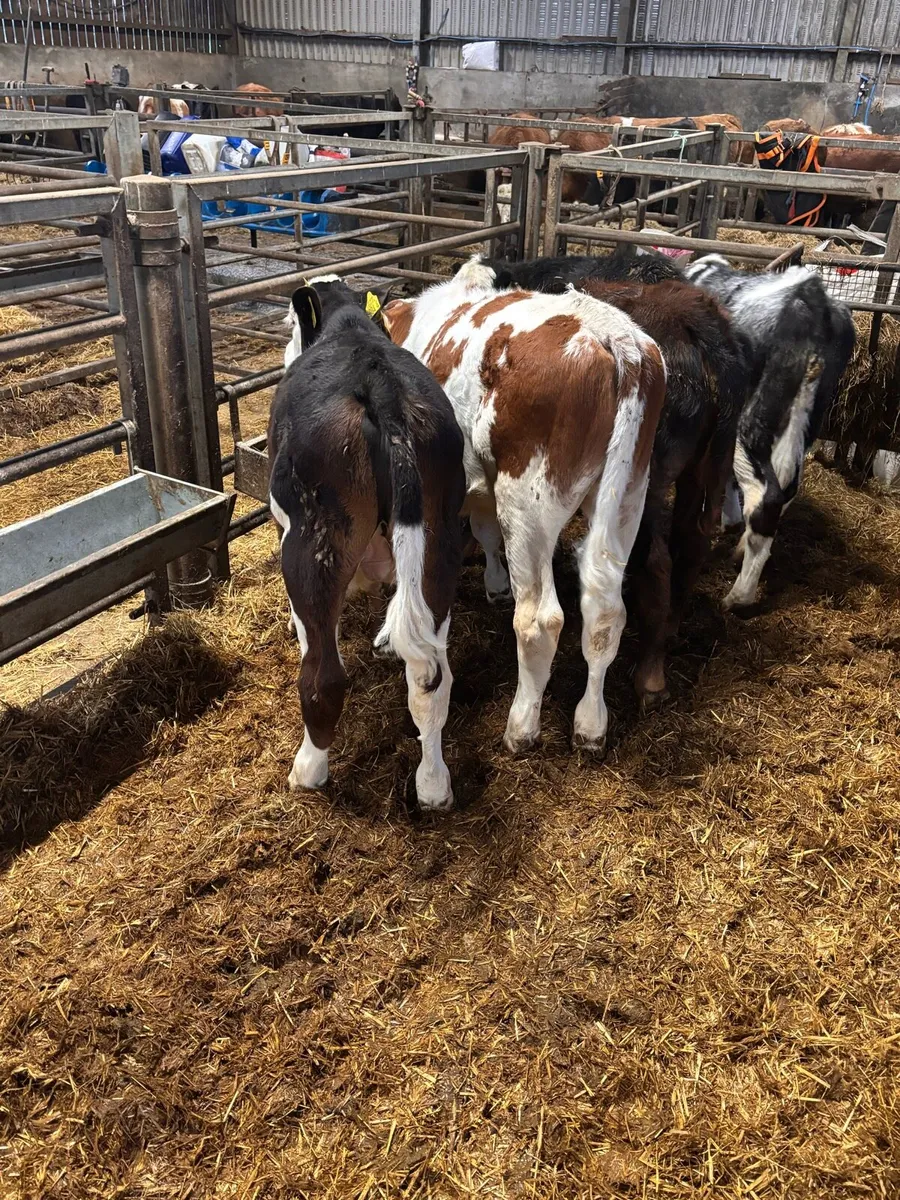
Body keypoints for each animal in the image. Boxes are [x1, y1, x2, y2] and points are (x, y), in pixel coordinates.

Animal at [270, 276, 466, 809]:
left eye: (290, 323)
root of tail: (381, 388)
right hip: (439, 537)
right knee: (431, 677)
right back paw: (433, 786)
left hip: (312, 545)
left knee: (324, 678)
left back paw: (307, 770)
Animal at [381, 258, 666, 755]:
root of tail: (615, 339)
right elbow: (484, 530)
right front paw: (495, 584)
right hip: (629, 492)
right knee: (605, 611)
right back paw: (590, 725)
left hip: (528, 502)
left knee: (539, 620)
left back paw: (521, 727)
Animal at [481, 251, 749, 707]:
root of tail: (694, 323)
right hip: (705, 464)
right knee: (693, 540)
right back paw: (671, 630)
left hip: (644, 480)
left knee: (657, 562)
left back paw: (651, 675)